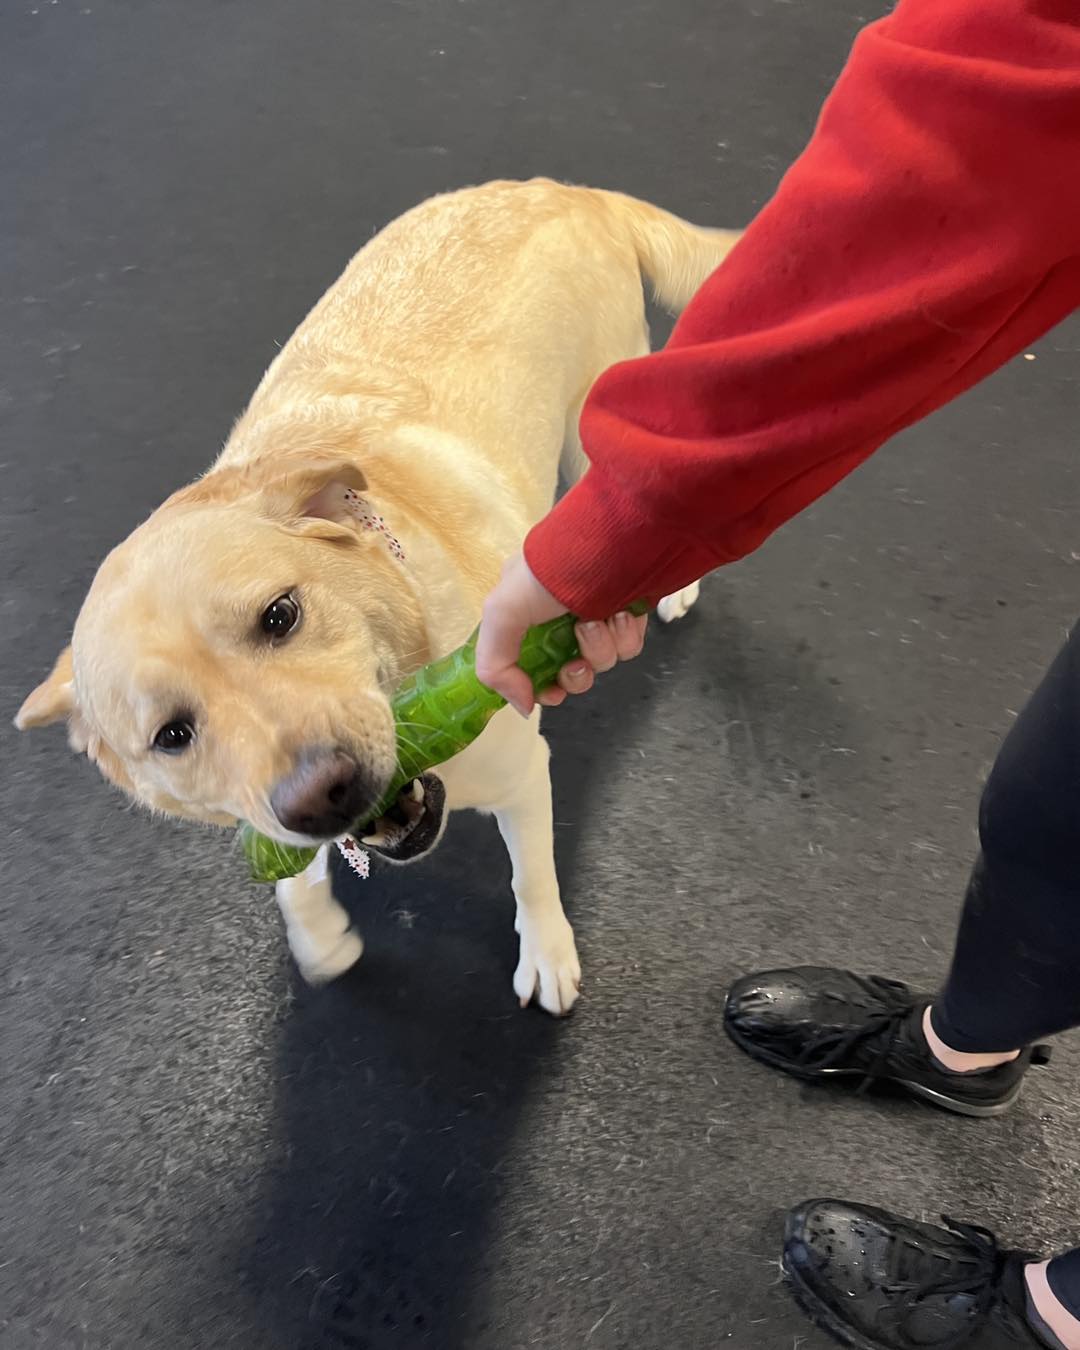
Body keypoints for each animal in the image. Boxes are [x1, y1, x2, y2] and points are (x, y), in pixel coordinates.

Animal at [16, 179, 739, 1015]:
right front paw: (318, 933)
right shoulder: (274, 825)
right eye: (172, 734)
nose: (321, 796)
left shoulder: (525, 772)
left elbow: (532, 876)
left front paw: (548, 953)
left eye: (280, 615)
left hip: (595, 424)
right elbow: (291, 876)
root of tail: (559, 189)